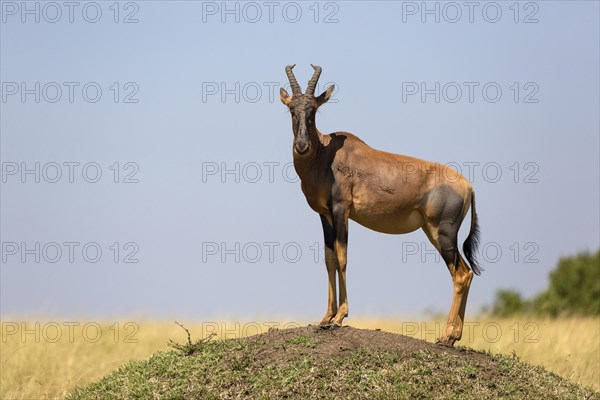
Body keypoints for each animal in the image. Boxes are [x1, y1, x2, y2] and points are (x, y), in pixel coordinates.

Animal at [282, 64, 482, 346]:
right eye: (292, 109)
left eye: (314, 111)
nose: (302, 146)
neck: (326, 154)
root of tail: (468, 186)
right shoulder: (325, 215)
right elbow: (329, 259)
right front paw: (325, 318)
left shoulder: (341, 210)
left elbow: (342, 257)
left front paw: (340, 317)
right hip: (433, 232)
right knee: (467, 273)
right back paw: (454, 338)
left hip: (443, 233)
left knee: (461, 275)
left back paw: (445, 337)